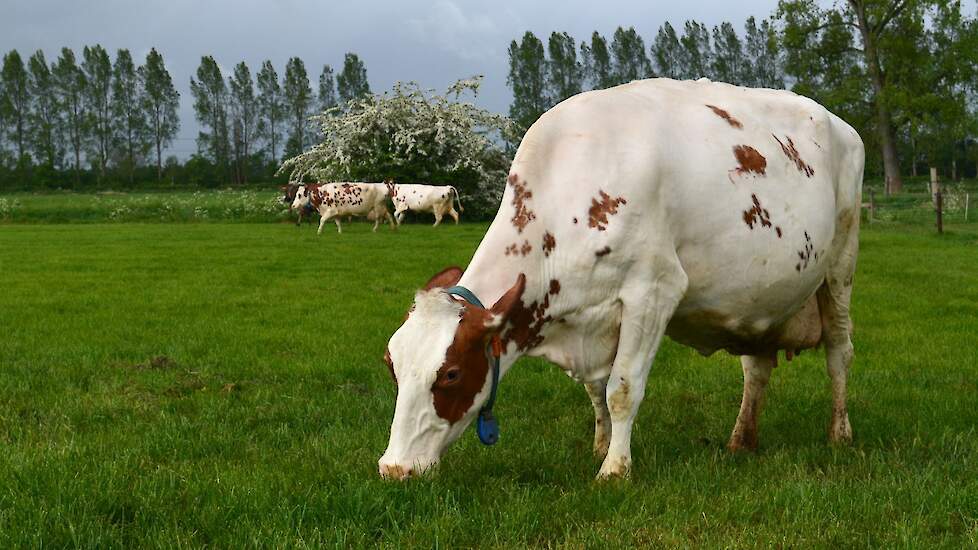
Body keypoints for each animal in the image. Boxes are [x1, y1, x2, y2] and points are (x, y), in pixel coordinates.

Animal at [378, 78, 856, 484]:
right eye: (392, 365)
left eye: (452, 374)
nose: (393, 468)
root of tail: (838, 121)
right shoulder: (591, 315)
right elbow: (595, 390)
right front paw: (601, 446)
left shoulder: (654, 291)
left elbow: (622, 389)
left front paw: (614, 470)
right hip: (760, 297)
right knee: (756, 369)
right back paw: (741, 439)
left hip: (840, 266)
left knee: (839, 352)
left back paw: (840, 433)